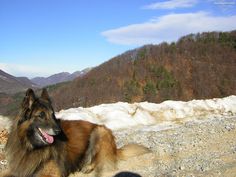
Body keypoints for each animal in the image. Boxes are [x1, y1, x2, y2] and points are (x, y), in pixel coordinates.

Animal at [1, 89, 149, 176]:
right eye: (41, 115)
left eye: (52, 114)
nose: (58, 131)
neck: (30, 147)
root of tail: (115, 148)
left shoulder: (51, 172)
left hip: (99, 132)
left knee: (99, 160)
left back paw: (86, 167)